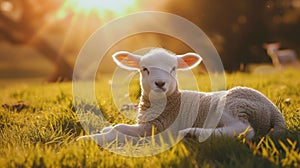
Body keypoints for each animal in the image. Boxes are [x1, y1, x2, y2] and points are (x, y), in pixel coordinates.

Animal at [76, 48, 284, 145]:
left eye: (173, 69)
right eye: (145, 69)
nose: (160, 83)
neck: (170, 103)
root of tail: (274, 111)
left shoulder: (157, 127)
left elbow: (119, 130)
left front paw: (89, 139)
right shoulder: (149, 124)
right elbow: (118, 127)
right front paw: (103, 131)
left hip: (231, 106)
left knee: (244, 129)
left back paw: (193, 132)